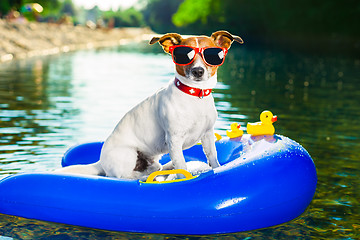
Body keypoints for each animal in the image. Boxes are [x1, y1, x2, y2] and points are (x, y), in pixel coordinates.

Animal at [56, 31, 243, 179]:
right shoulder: (174, 139)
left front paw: (217, 169)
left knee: (156, 168)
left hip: (151, 160)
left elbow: (213, 157)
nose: (198, 71)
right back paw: (142, 177)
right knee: (122, 177)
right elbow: (182, 165)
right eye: (183, 55)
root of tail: (101, 162)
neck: (194, 96)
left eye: (211, 55)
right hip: (128, 154)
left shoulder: (208, 134)